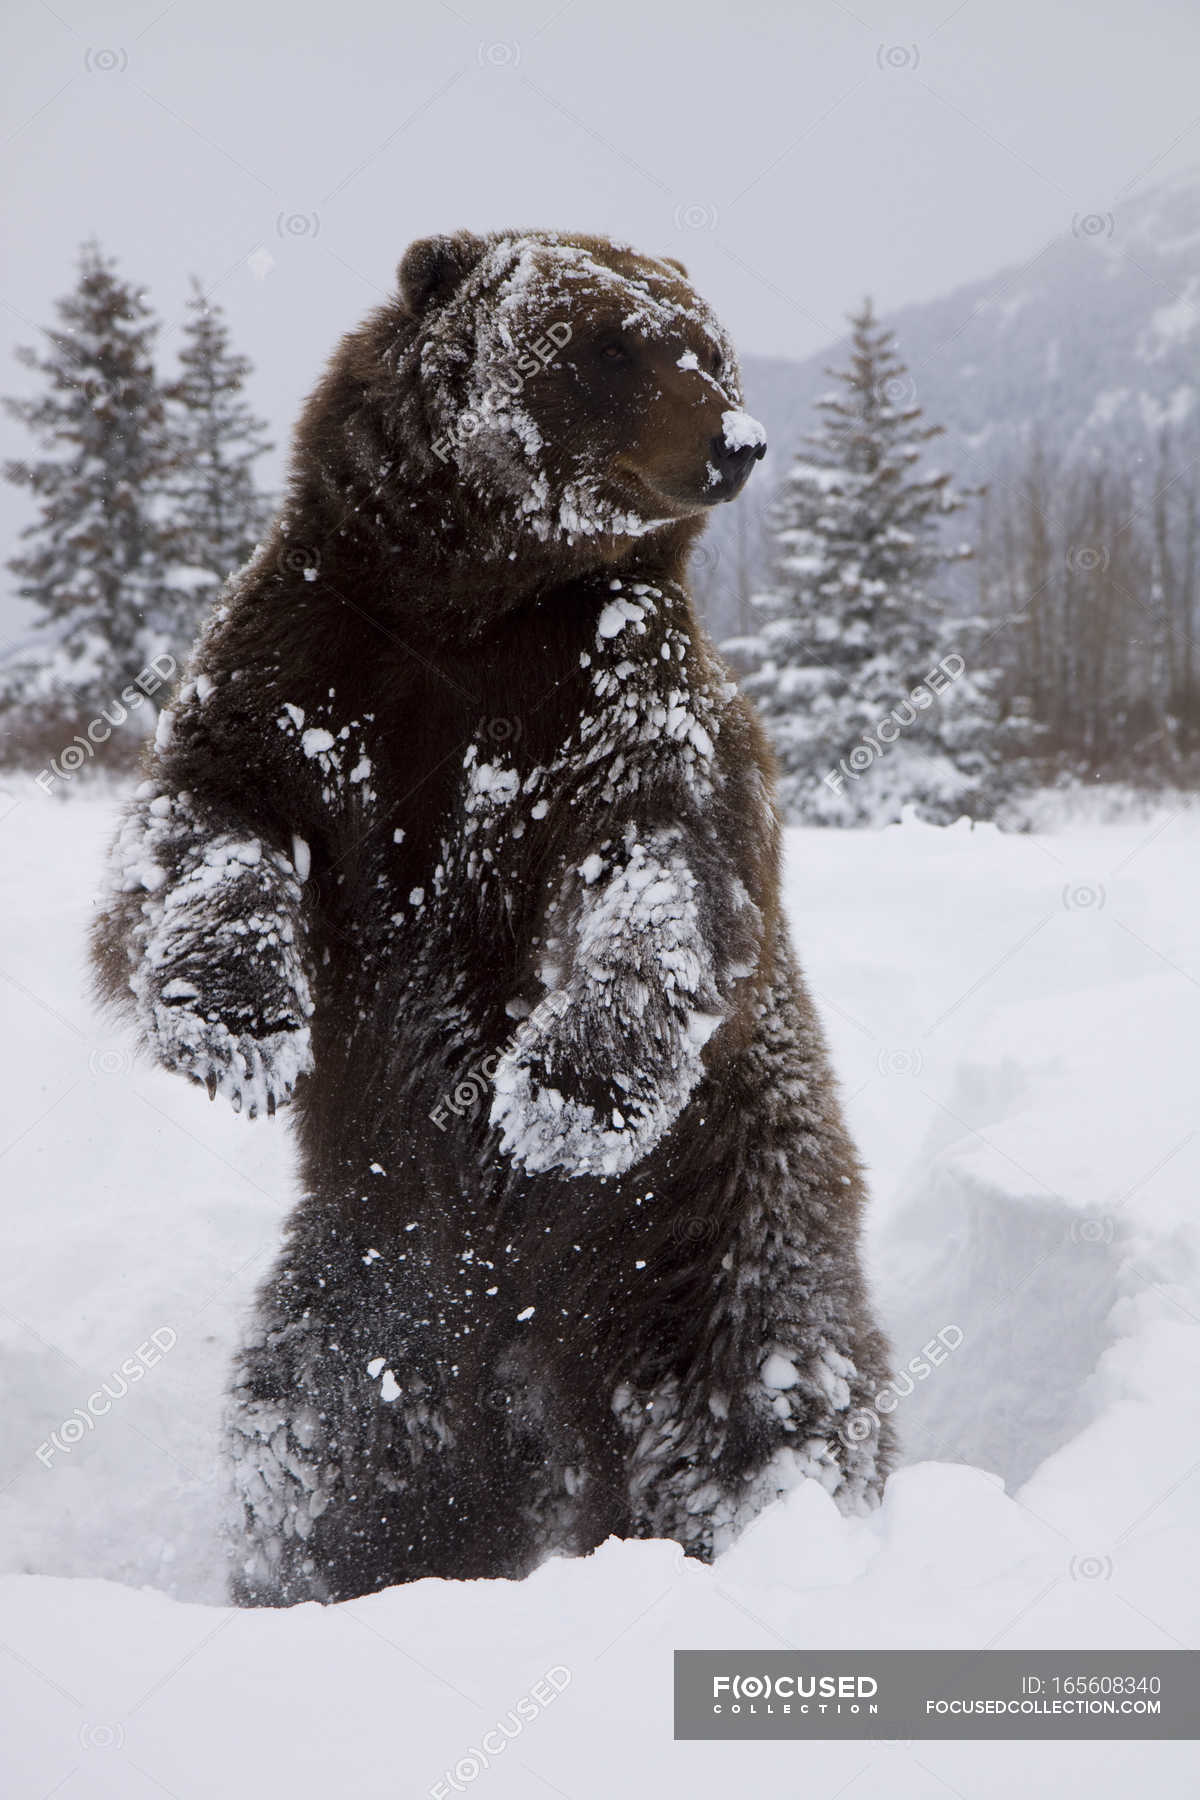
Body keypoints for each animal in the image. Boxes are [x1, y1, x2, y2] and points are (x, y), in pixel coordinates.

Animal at [94, 228, 895, 1605]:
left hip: (710, 1220)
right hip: (382, 1274)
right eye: (615, 346)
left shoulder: (616, 698)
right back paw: (326, 1577)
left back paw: (773, 1531)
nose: (736, 440)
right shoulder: (312, 665)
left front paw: (565, 1090)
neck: (477, 600)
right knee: (330, 1445)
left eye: (708, 345)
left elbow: (664, 870)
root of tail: (532, 1352)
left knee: (759, 1390)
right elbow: (209, 821)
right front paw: (237, 1020)